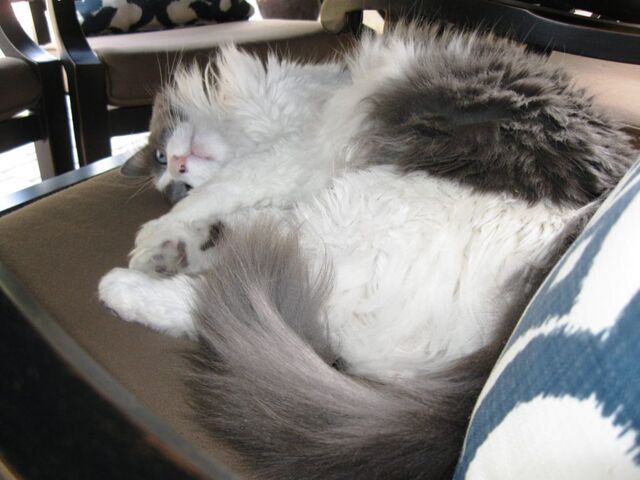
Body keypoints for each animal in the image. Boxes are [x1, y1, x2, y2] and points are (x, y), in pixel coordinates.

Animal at [99, 23, 636, 480]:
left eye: (166, 161)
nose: (180, 169)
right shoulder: (287, 171)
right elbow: (225, 209)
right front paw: (171, 243)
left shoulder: (287, 154)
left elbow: (224, 189)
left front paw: (156, 236)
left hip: (342, 220)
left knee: (210, 299)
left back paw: (120, 286)